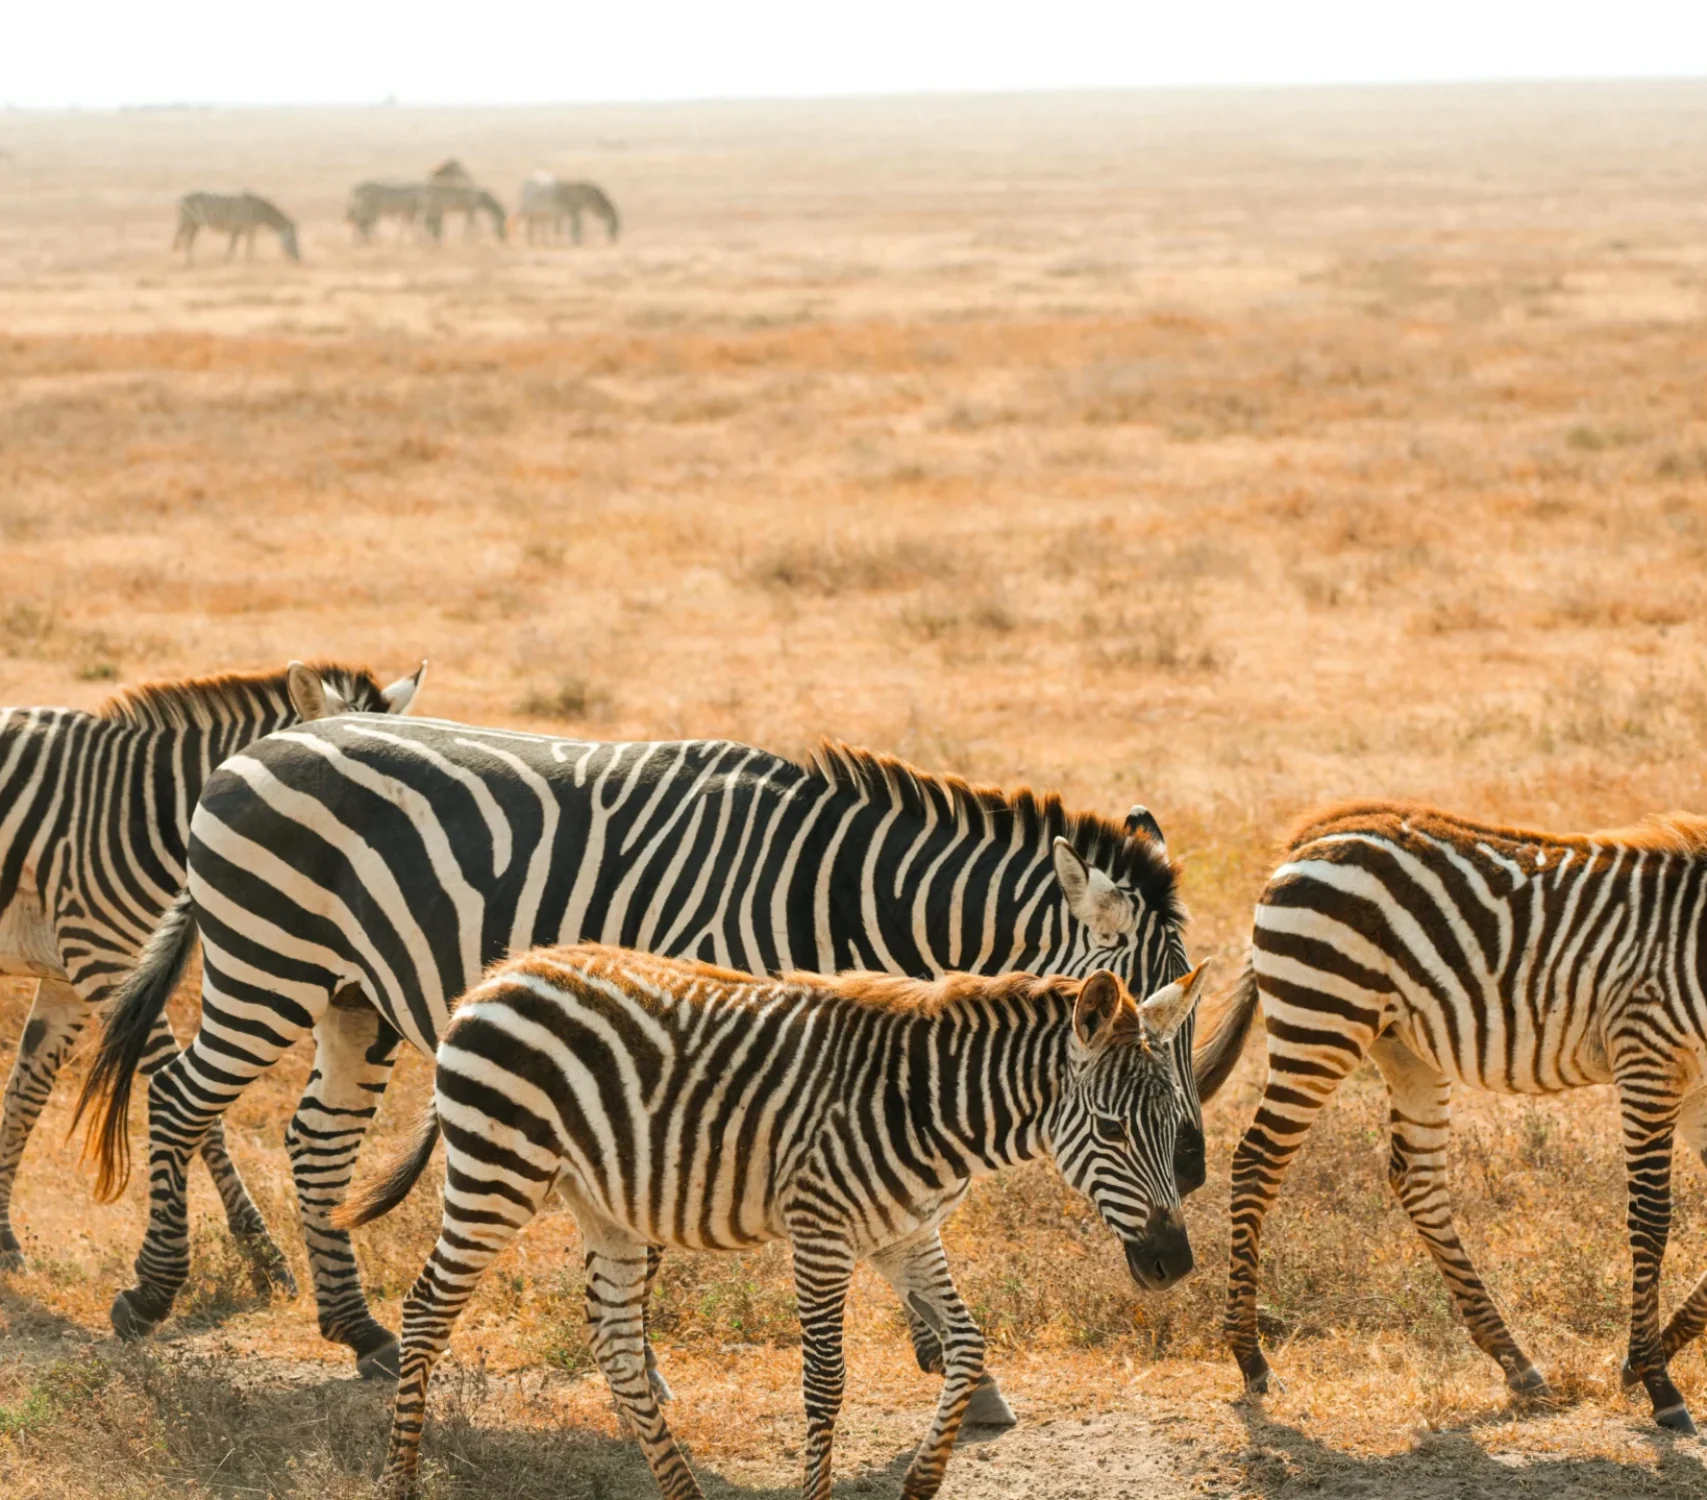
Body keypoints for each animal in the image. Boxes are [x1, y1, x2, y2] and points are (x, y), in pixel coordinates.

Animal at [0, 659, 424, 1282]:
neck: (151, 806)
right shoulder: (107, 964)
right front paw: (262, 1251)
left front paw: (4, 1241)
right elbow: (201, 1113)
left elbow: (24, 1096)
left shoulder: (69, 980)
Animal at [77, 718, 1210, 1425]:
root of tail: (259, 743)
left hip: (353, 997)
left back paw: (358, 1330)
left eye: (1182, 1012)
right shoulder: (697, 1045)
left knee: (315, 1140)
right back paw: (150, 1295)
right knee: (178, 1099)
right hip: (264, 965)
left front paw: (959, 1372)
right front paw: (648, 1372)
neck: (834, 900)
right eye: (1135, 1013)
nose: (1195, 1169)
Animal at [337, 944, 1207, 1500]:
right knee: (426, 1310)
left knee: (614, 1343)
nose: (1173, 1266)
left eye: (1173, 1125)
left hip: (602, 1203)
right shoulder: (821, 1232)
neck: (931, 1109)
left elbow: (966, 1347)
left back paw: (681, 1492)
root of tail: (497, 977)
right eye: (1111, 1131)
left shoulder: (907, 1236)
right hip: (497, 1171)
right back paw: (399, 1481)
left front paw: (920, 1484)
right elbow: (825, 1381)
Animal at [1206, 801, 1707, 1434]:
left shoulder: (1697, 1085)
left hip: (1402, 1046)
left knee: (1417, 1181)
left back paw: (1515, 1362)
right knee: (1256, 1163)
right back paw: (1251, 1359)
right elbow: (1651, 1218)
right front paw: (1657, 1379)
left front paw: (1641, 1362)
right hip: (1321, 1019)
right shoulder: (1648, 1051)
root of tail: (1317, 833)